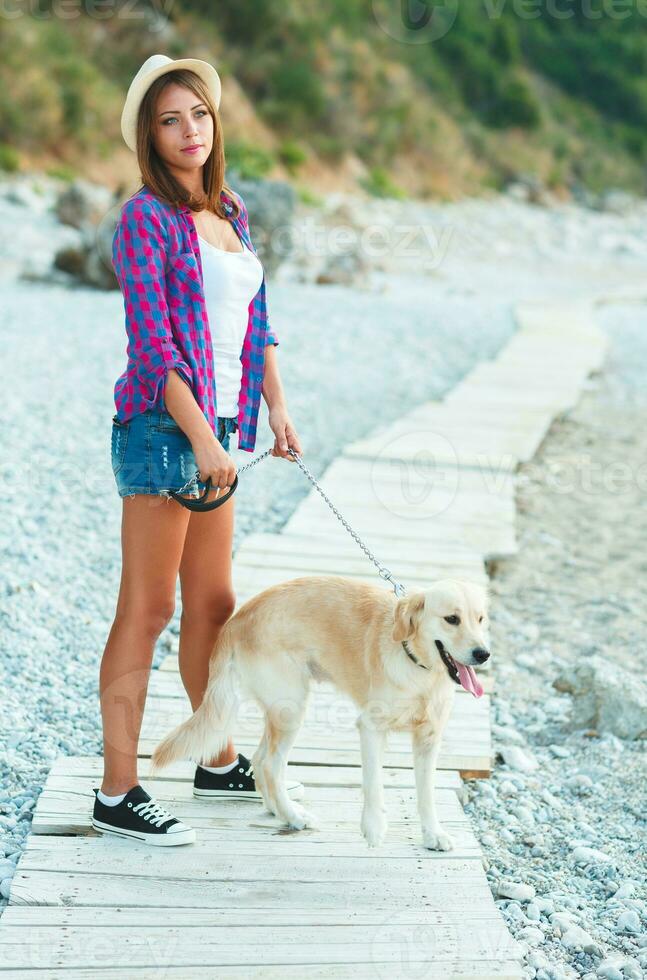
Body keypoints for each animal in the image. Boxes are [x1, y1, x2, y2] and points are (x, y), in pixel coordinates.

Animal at [151, 576, 492, 848]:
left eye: (480, 619)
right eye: (451, 619)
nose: (483, 654)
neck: (419, 667)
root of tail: (238, 619)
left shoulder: (429, 739)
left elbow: (427, 794)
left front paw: (433, 834)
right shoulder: (371, 728)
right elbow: (373, 784)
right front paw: (373, 827)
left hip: (282, 710)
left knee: (260, 761)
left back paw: (278, 809)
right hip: (292, 707)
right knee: (271, 765)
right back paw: (292, 816)